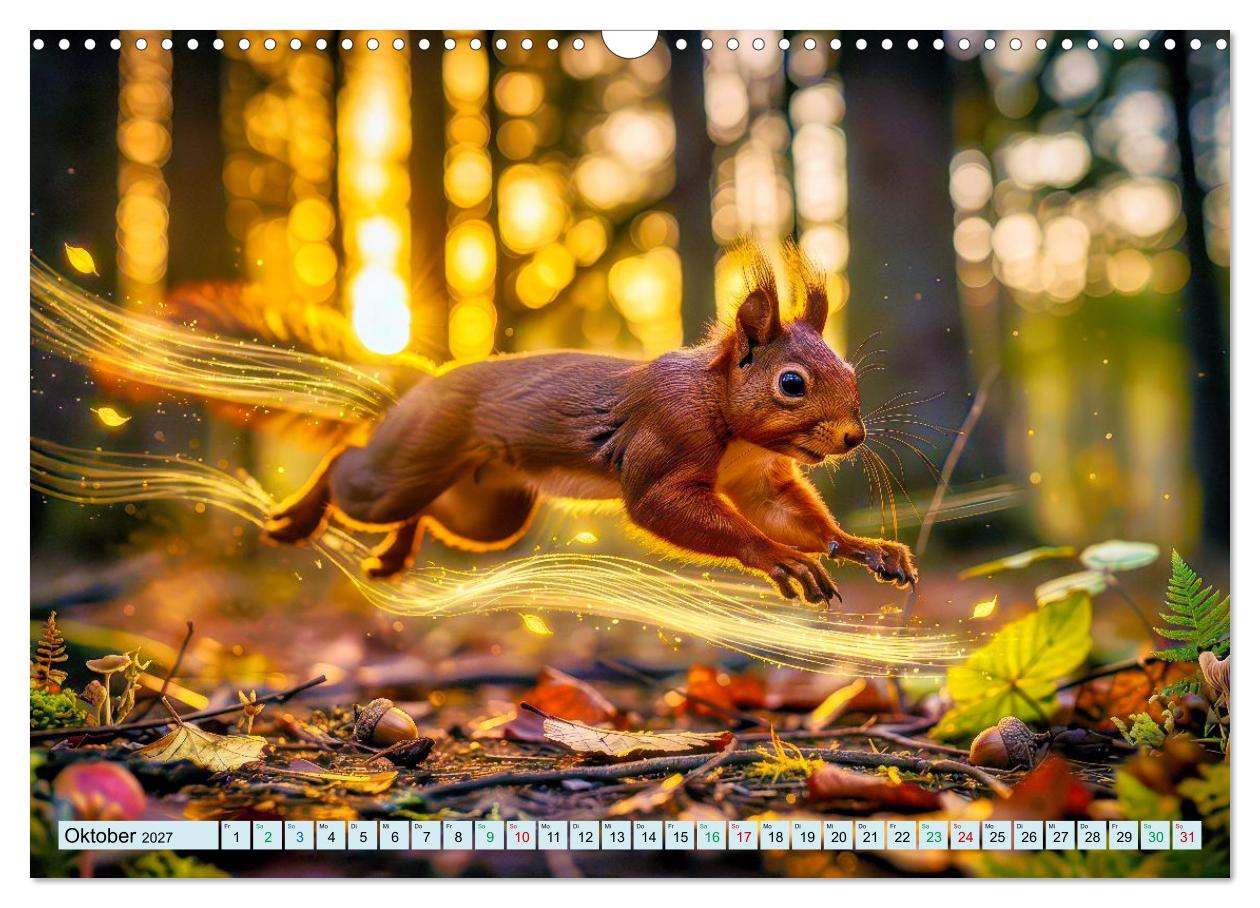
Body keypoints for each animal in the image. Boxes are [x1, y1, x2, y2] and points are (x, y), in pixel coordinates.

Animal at [262, 242, 918, 604]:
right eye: (792, 384)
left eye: (851, 372)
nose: (854, 437)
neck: (722, 408)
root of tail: (422, 386)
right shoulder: (667, 436)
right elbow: (663, 505)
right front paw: (779, 557)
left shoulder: (759, 478)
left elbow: (794, 516)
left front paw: (868, 548)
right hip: (408, 462)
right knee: (349, 466)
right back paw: (297, 518)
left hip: (489, 509)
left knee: (429, 510)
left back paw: (395, 553)